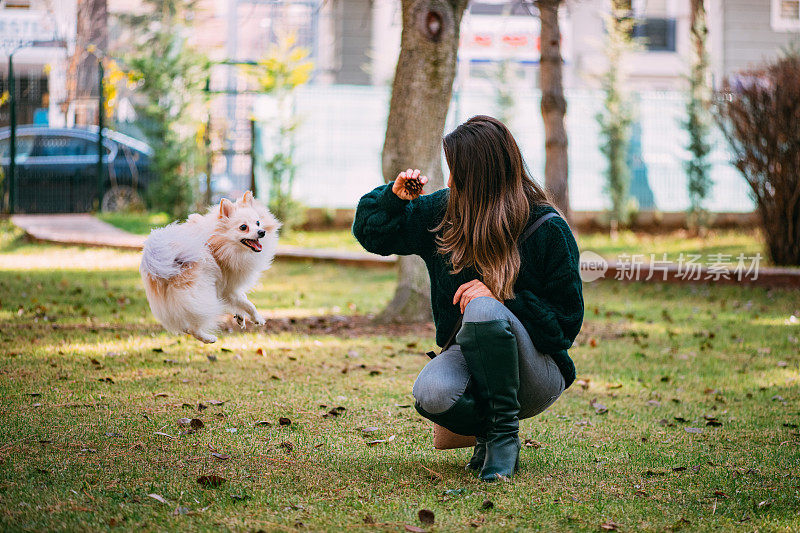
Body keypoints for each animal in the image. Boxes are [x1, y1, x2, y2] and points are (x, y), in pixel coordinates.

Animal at [141, 189, 282, 342]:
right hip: (203, 295)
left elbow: (243, 298)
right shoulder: (229, 289)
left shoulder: (227, 290)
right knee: (193, 328)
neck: (221, 244)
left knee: (185, 327)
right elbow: (248, 304)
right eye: (243, 227)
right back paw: (209, 338)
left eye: (258, 222)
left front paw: (240, 316)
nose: (261, 232)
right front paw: (257, 318)